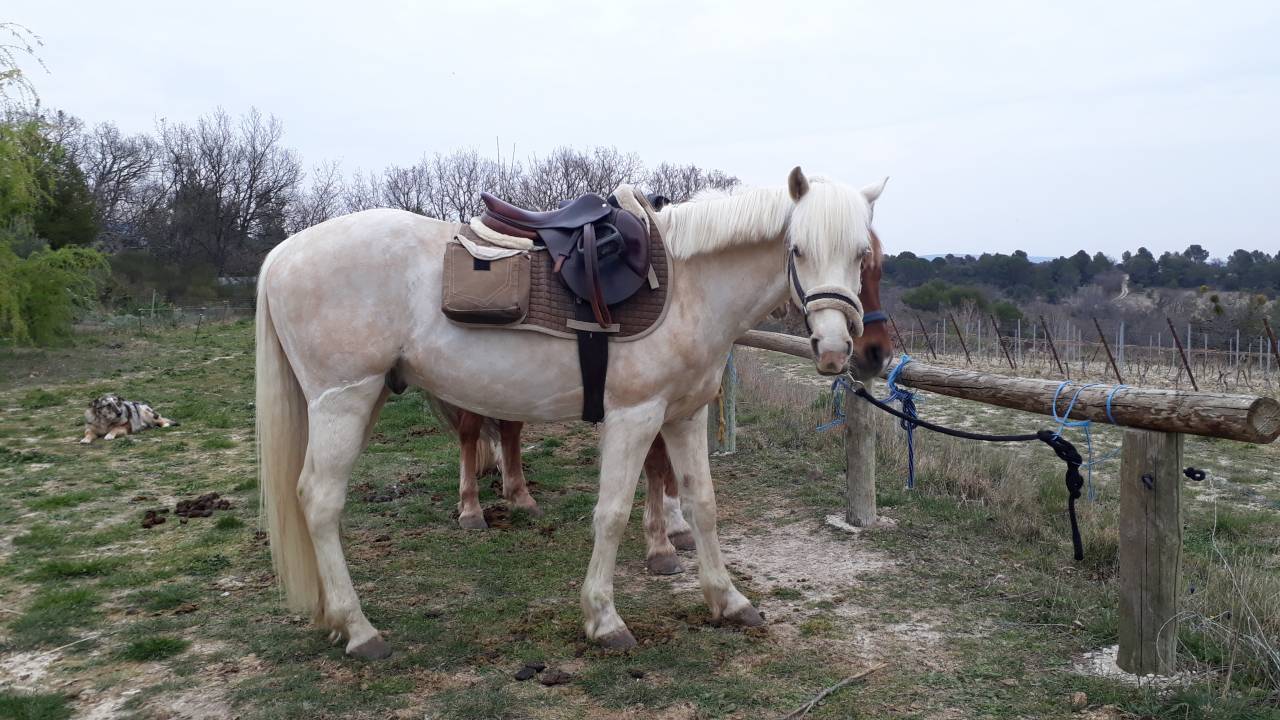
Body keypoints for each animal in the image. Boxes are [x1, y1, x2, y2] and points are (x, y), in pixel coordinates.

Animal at [436, 228, 893, 578]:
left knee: (508, 429)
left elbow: (669, 469)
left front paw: (676, 530)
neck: (689, 295)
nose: (873, 353)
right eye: (860, 269)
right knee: (471, 433)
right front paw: (662, 545)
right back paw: (472, 510)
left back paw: (520, 497)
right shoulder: (646, 406)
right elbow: (657, 467)